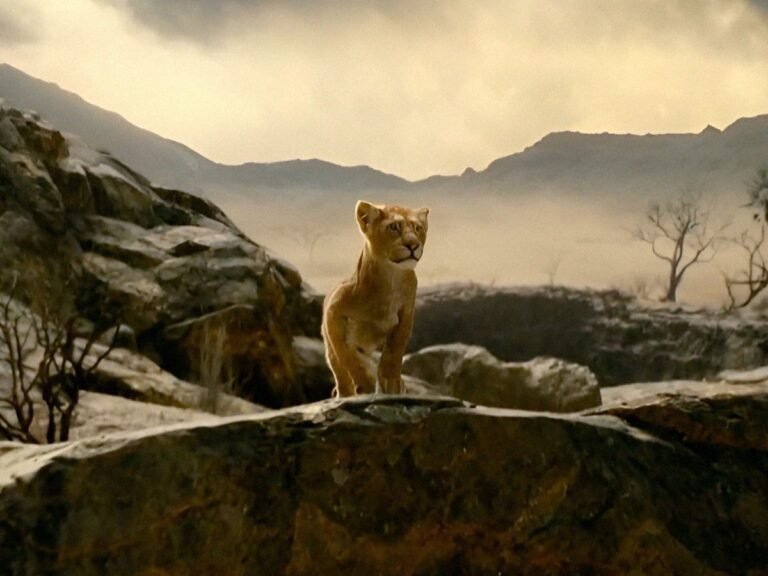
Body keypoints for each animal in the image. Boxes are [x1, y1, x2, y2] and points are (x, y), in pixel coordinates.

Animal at [322, 200, 429, 397]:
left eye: (417, 228)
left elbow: (394, 352)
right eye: (393, 227)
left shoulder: (406, 314)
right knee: (339, 370)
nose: (413, 245)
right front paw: (365, 383)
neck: (389, 280)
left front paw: (391, 383)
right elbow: (347, 356)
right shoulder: (332, 313)